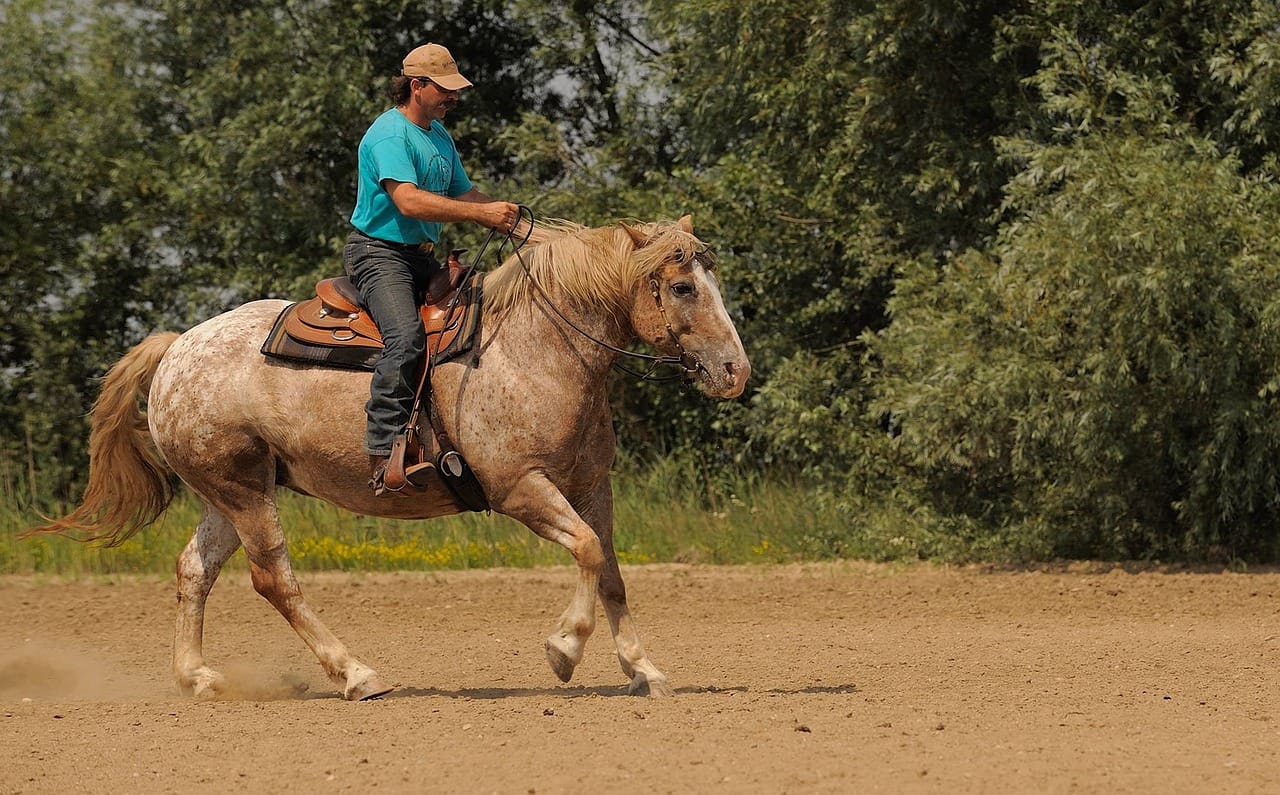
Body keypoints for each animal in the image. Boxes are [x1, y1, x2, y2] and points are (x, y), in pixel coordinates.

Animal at [27, 216, 750, 701]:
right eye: (683, 286)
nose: (735, 370)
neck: (536, 348)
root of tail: (178, 347)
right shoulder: (521, 487)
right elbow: (588, 552)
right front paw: (564, 648)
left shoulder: (592, 485)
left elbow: (612, 574)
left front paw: (644, 670)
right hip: (243, 492)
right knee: (274, 579)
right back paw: (355, 673)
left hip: (230, 492)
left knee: (193, 570)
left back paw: (199, 677)